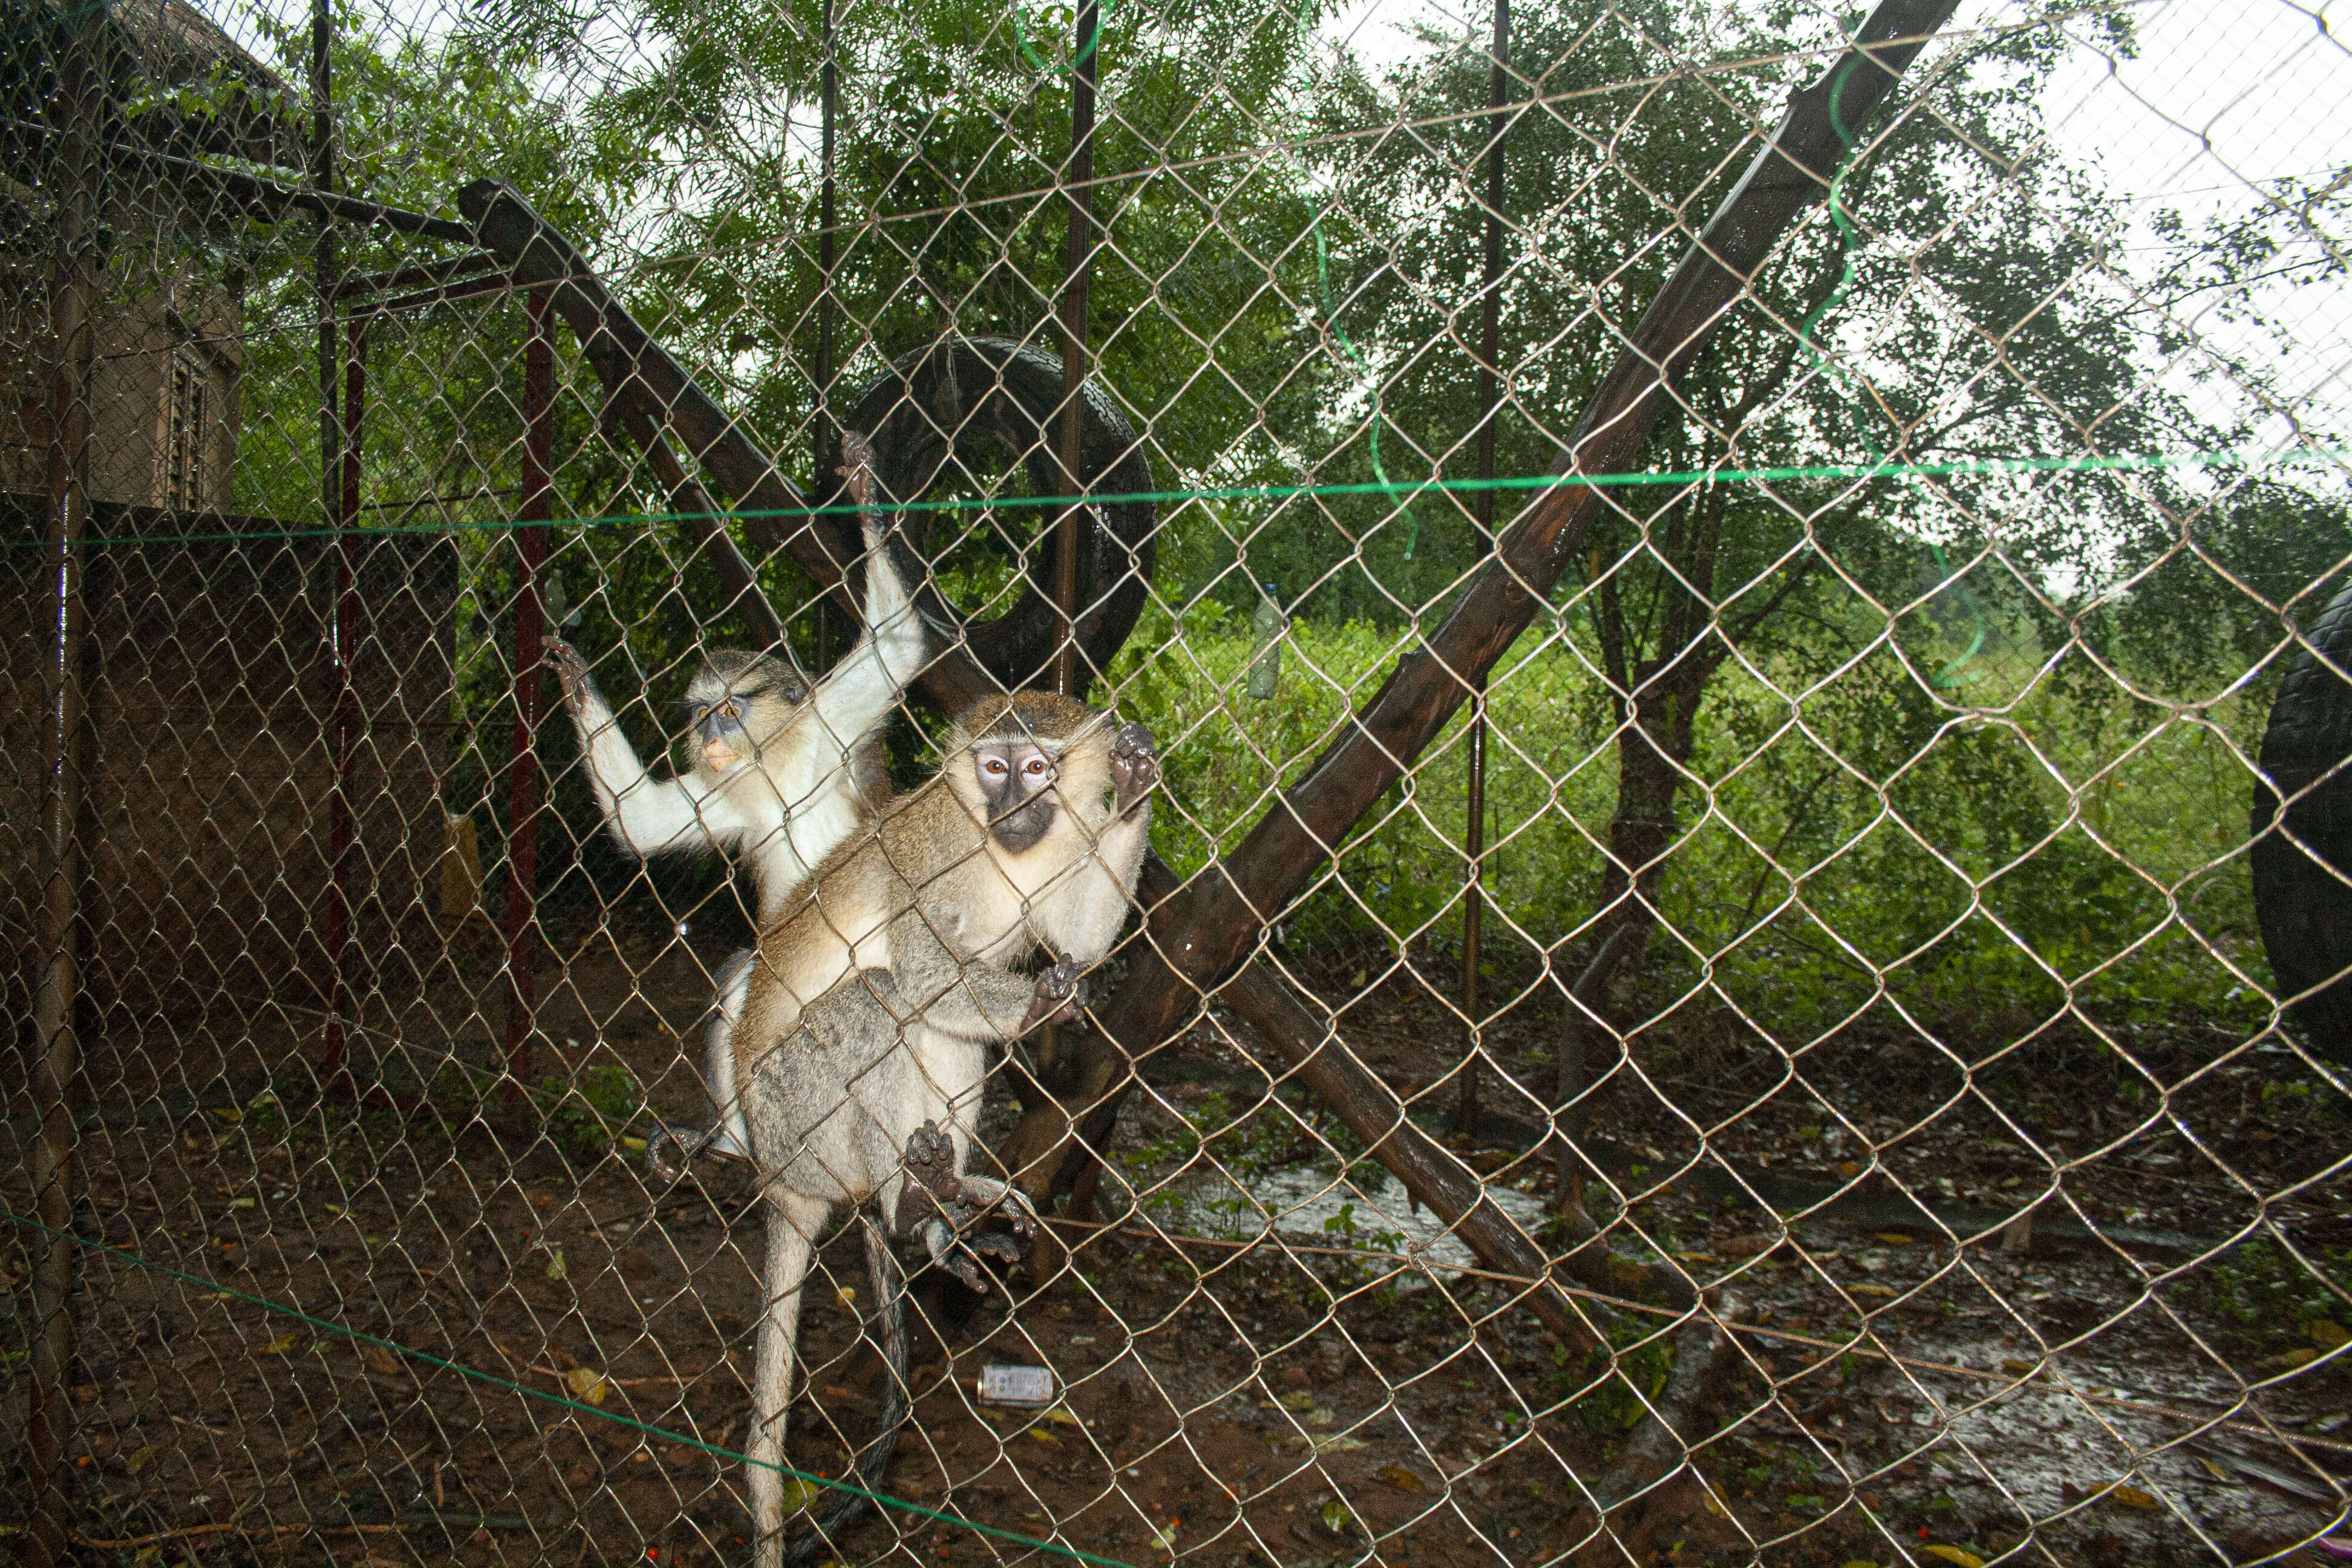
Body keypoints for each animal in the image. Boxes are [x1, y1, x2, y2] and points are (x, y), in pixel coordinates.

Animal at [546, 430, 922, 1175]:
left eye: (730, 708)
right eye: (699, 715)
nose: (711, 737)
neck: (777, 770)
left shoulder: (835, 731)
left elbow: (895, 646)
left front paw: (865, 492)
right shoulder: (728, 796)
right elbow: (640, 821)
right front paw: (577, 680)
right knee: (738, 986)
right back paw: (733, 1144)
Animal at [724, 691, 1148, 1568]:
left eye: (1037, 767)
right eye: (992, 767)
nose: (1012, 804)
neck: (1004, 849)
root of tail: (777, 1179)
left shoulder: (1068, 844)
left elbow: (1083, 942)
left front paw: (1130, 786)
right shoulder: (931, 858)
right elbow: (923, 974)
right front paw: (1043, 1004)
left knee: (942, 1031)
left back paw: (945, 1200)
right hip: (796, 1118)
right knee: (881, 994)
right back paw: (908, 1200)